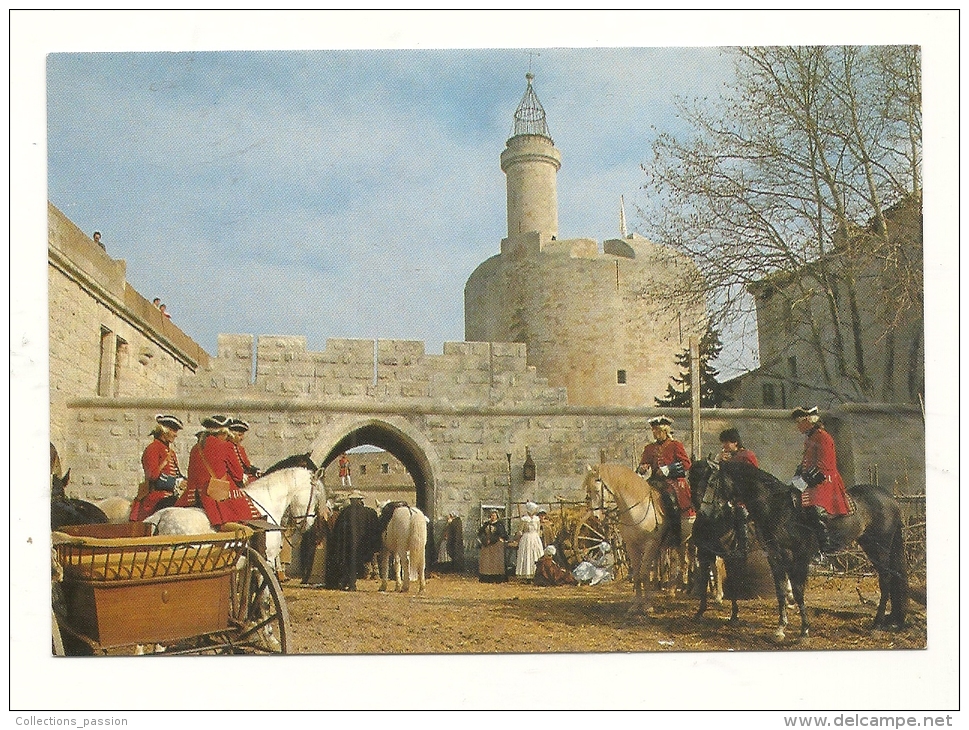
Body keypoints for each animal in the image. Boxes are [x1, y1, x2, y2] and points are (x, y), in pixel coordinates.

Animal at [584, 464, 672, 612]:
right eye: (588, 491)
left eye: (596, 490)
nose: (595, 517)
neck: (637, 510)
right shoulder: (631, 546)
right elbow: (637, 574)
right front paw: (637, 604)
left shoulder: (650, 544)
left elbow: (644, 572)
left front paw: (647, 606)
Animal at [704, 460, 908, 636]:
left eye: (712, 482)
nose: (705, 513)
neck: (775, 507)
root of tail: (890, 498)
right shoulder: (774, 556)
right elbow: (781, 591)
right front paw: (781, 628)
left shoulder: (797, 556)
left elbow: (797, 590)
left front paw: (804, 630)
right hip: (869, 545)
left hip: (880, 546)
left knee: (885, 579)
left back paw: (877, 624)